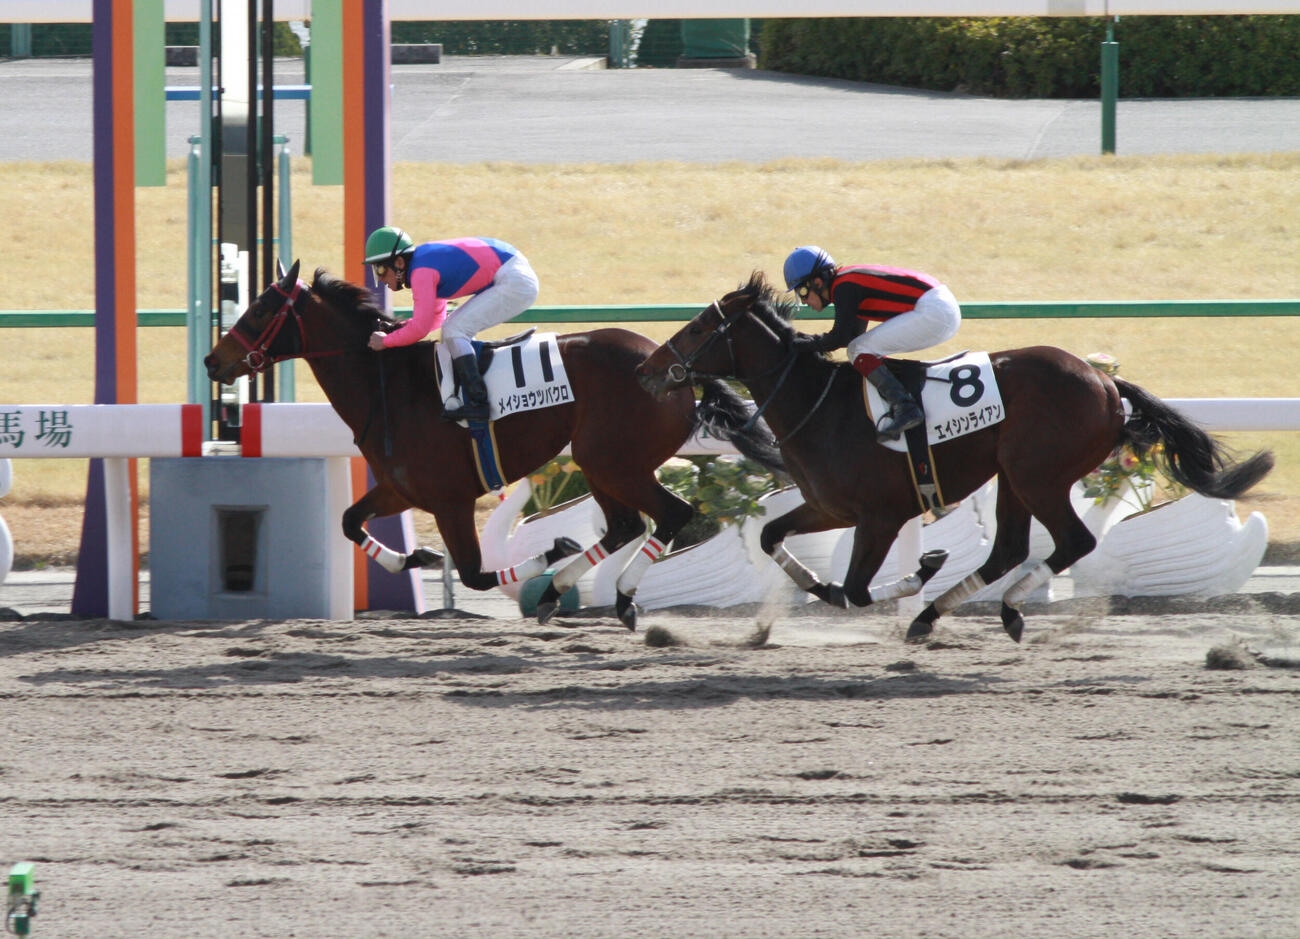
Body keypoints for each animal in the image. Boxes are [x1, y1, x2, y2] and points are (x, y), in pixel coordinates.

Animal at [204, 261, 784, 628]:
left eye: (260, 311)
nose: (213, 361)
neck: (388, 386)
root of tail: (674, 369)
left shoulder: (451, 500)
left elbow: (476, 575)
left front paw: (549, 551)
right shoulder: (401, 489)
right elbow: (349, 522)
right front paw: (414, 556)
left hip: (615, 462)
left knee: (670, 514)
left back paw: (617, 597)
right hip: (599, 462)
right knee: (626, 525)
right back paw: (557, 590)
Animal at [635, 272, 1274, 643]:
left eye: (698, 329)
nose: (648, 369)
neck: (820, 406)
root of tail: (1105, 383)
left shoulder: (879, 515)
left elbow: (858, 589)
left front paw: (921, 567)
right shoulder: (829, 507)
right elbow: (776, 540)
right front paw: (804, 599)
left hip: (1037, 474)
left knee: (1073, 541)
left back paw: (994, 609)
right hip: (1015, 476)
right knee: (1010, 548)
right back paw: (942, 616)